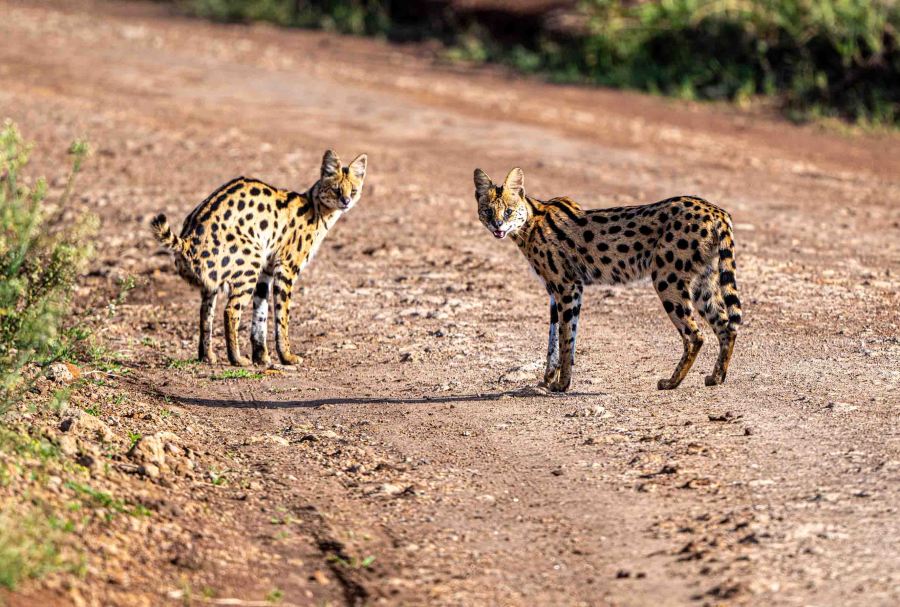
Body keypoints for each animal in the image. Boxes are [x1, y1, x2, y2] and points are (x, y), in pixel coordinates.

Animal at [151, 150, 367, 367]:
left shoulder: (267, 271)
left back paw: (207, 356)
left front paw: (261, 357)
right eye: (336, 189)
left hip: (218, 280)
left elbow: (260, 315)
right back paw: (237, 359)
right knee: (230, 310)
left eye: (353, 191)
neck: (316, 208)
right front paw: (286, 356)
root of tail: (188, 238)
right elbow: (282, 316)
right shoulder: (286, 268)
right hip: (250, 264)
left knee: (205, 312)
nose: (346, 202)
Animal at [474, 167, 742, 393]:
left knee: (696, 335)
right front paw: (549, 378)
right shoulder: (555, 291)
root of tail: (716, 210)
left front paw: (562, 383)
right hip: (702, 282)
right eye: (487, 211)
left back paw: (671, 382)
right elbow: (554, 339)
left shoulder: (566, 286)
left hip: (667, 279)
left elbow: (566, 337)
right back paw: (716, 377)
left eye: (508, 211)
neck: (529, 224)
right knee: (725, 326)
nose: (497, 226)